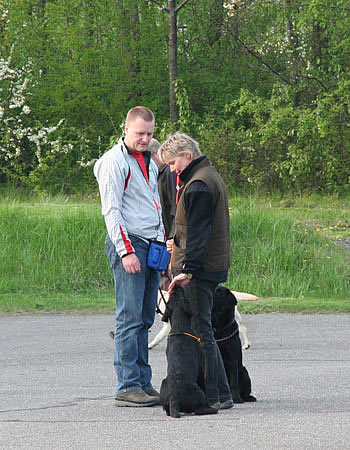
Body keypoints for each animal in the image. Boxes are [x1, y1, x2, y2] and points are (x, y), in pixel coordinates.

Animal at [160, 284, 217, 418]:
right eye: (184, 296)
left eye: (172, 296)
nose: (176, 285)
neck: (179, 326)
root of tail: (174, 398)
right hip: (199, 393)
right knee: (199, 410)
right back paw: (213, 409)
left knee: (167, 410)